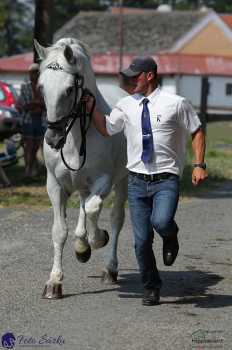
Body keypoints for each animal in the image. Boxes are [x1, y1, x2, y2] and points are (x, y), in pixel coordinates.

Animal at [35, 39, 128, 300]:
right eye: (41, 87)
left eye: (69, 89)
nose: (53, 139)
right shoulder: (55, 186)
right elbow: (60, 231)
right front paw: (54, 283)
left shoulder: (103, 181)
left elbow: (95, 209)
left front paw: (98, 239)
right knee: (84, 209)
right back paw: (81, 247)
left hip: (122, 181)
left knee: (114, 217)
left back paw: (109, 268)